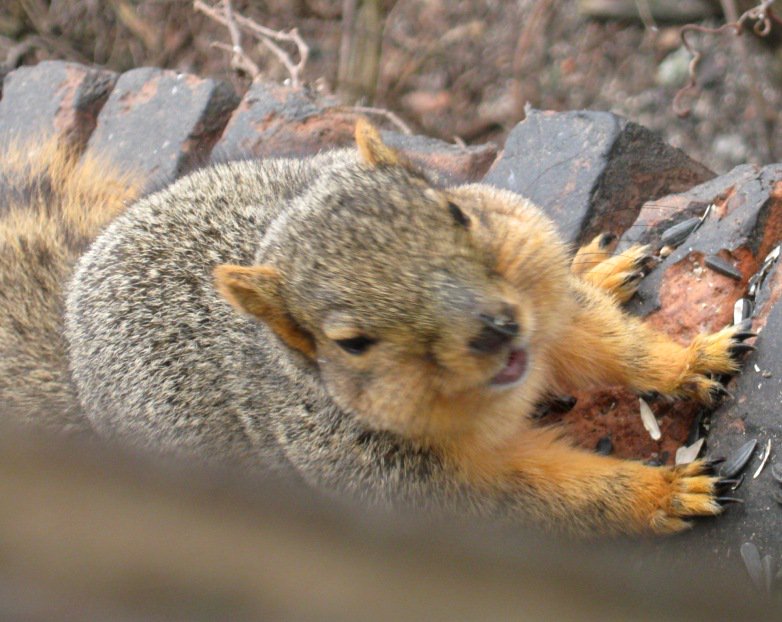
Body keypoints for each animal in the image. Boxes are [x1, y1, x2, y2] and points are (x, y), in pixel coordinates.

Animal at [1, 120, 752, 535]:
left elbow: (612, 347)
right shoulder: (416, 483)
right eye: (351, 344)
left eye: (456, 211)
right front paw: (666, 493)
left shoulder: (547, 311)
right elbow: (546, 499)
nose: (496, 329)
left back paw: (599, 266)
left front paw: (691, 360)